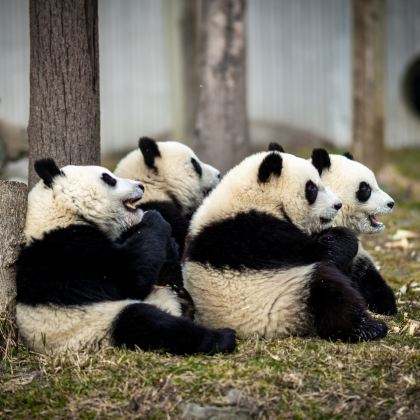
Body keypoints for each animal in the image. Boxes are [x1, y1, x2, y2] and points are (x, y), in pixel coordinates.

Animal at [13, 158, 236, 354]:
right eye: (109, 178)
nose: (141, 186)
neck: (60, 212)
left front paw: (169, 247)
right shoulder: (69, 251)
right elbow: (129, 275)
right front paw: (154, 218)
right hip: (94, 329)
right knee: (147, 323)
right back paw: (222, 338)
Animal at [182, 151, 388, 342]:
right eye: (312, 188)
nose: (337, 205)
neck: (254, 199)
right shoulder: (256, 234)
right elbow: (318, 253)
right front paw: (344, 237)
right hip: (280, 302)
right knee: (327, 290)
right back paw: (369, 328)